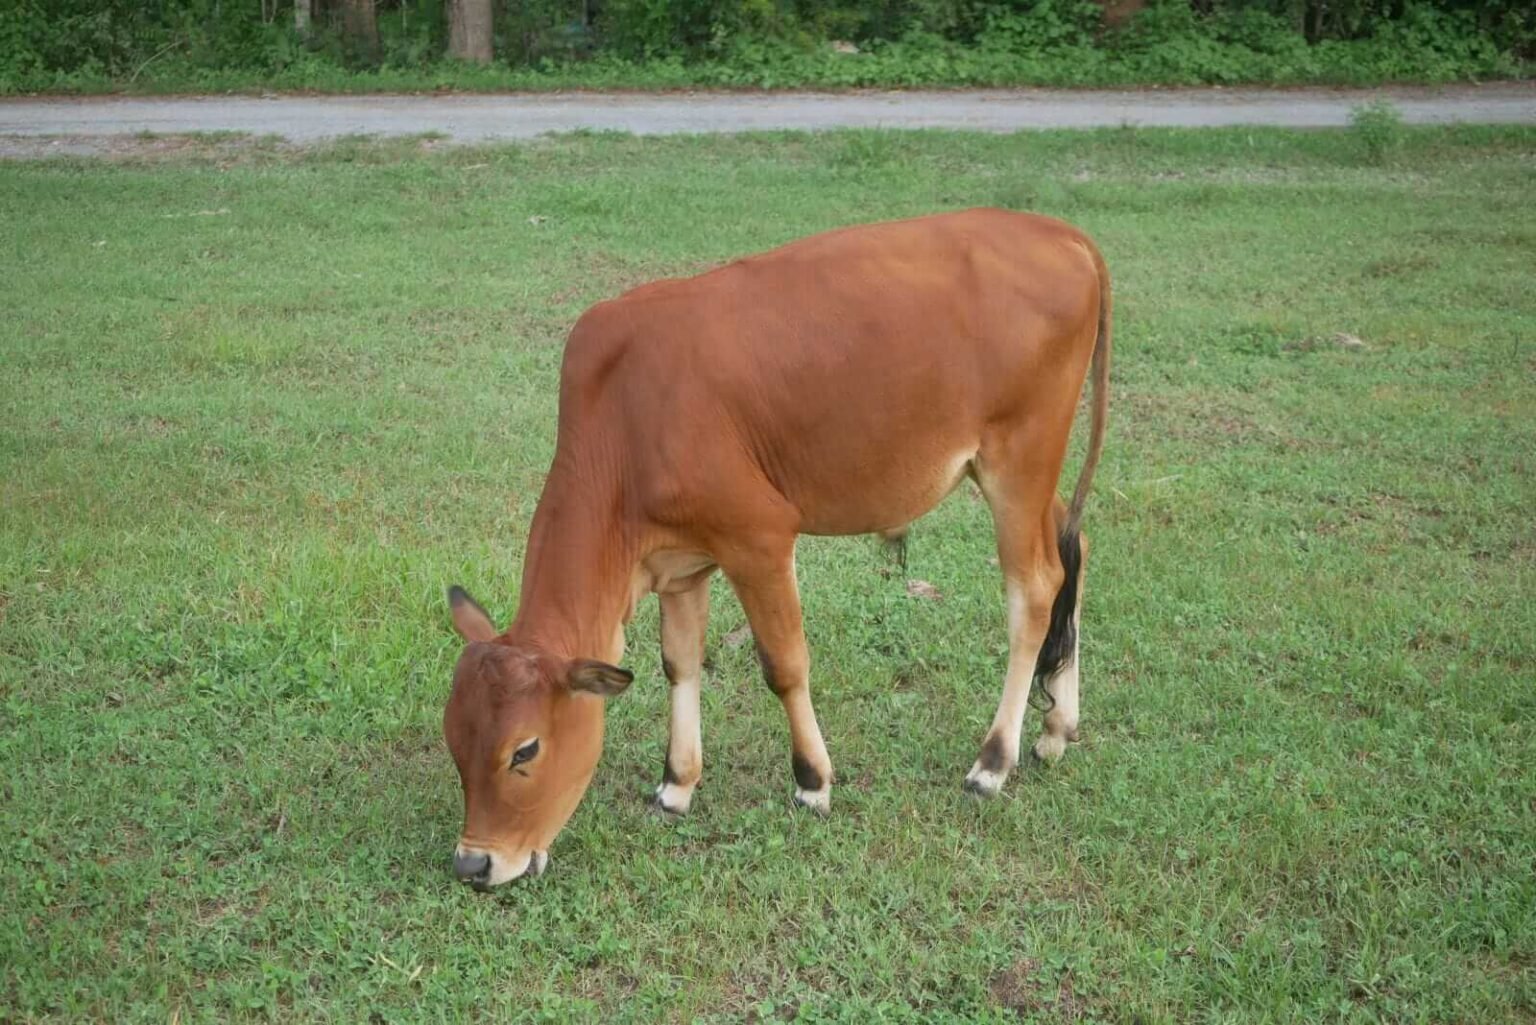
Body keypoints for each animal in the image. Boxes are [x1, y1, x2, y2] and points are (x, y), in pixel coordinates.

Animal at [442, 208, 1110, 889]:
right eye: (455, 742)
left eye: (524, 749)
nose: (474, 863)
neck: (623, 419)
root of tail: (1058, 232)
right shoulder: (681, 566)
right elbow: (680, 663)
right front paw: (676, 784)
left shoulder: (758, 540)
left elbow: (784, 665)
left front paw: (812, 782)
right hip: (1026, 477)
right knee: (1073, 549)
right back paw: (1058, 726)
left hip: (1018, 462)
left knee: (1035, 590)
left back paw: (993, 762)